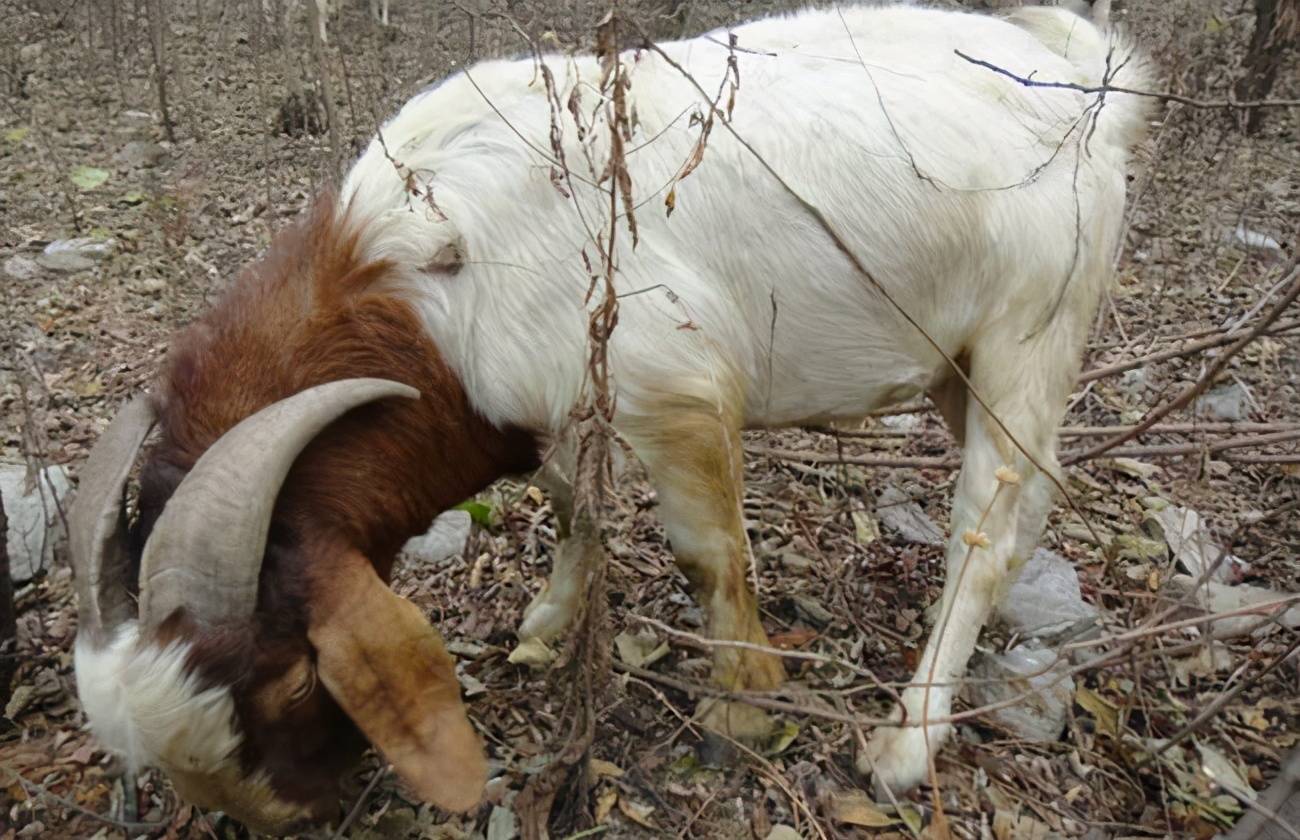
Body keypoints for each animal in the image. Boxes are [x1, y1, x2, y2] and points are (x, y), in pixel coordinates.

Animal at [68, 3, 1149, 837]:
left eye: (290, 681)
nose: (293, 814)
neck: (418, 278)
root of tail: (1088, 79)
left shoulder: (673, 390)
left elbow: (707, 556)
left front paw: (742, 707)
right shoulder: (549, 403)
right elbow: (564, 497)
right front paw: (549, 622)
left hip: (1029, 331)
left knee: (986, 524)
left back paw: (906, 741)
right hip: (959, 360)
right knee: (1033, 497)